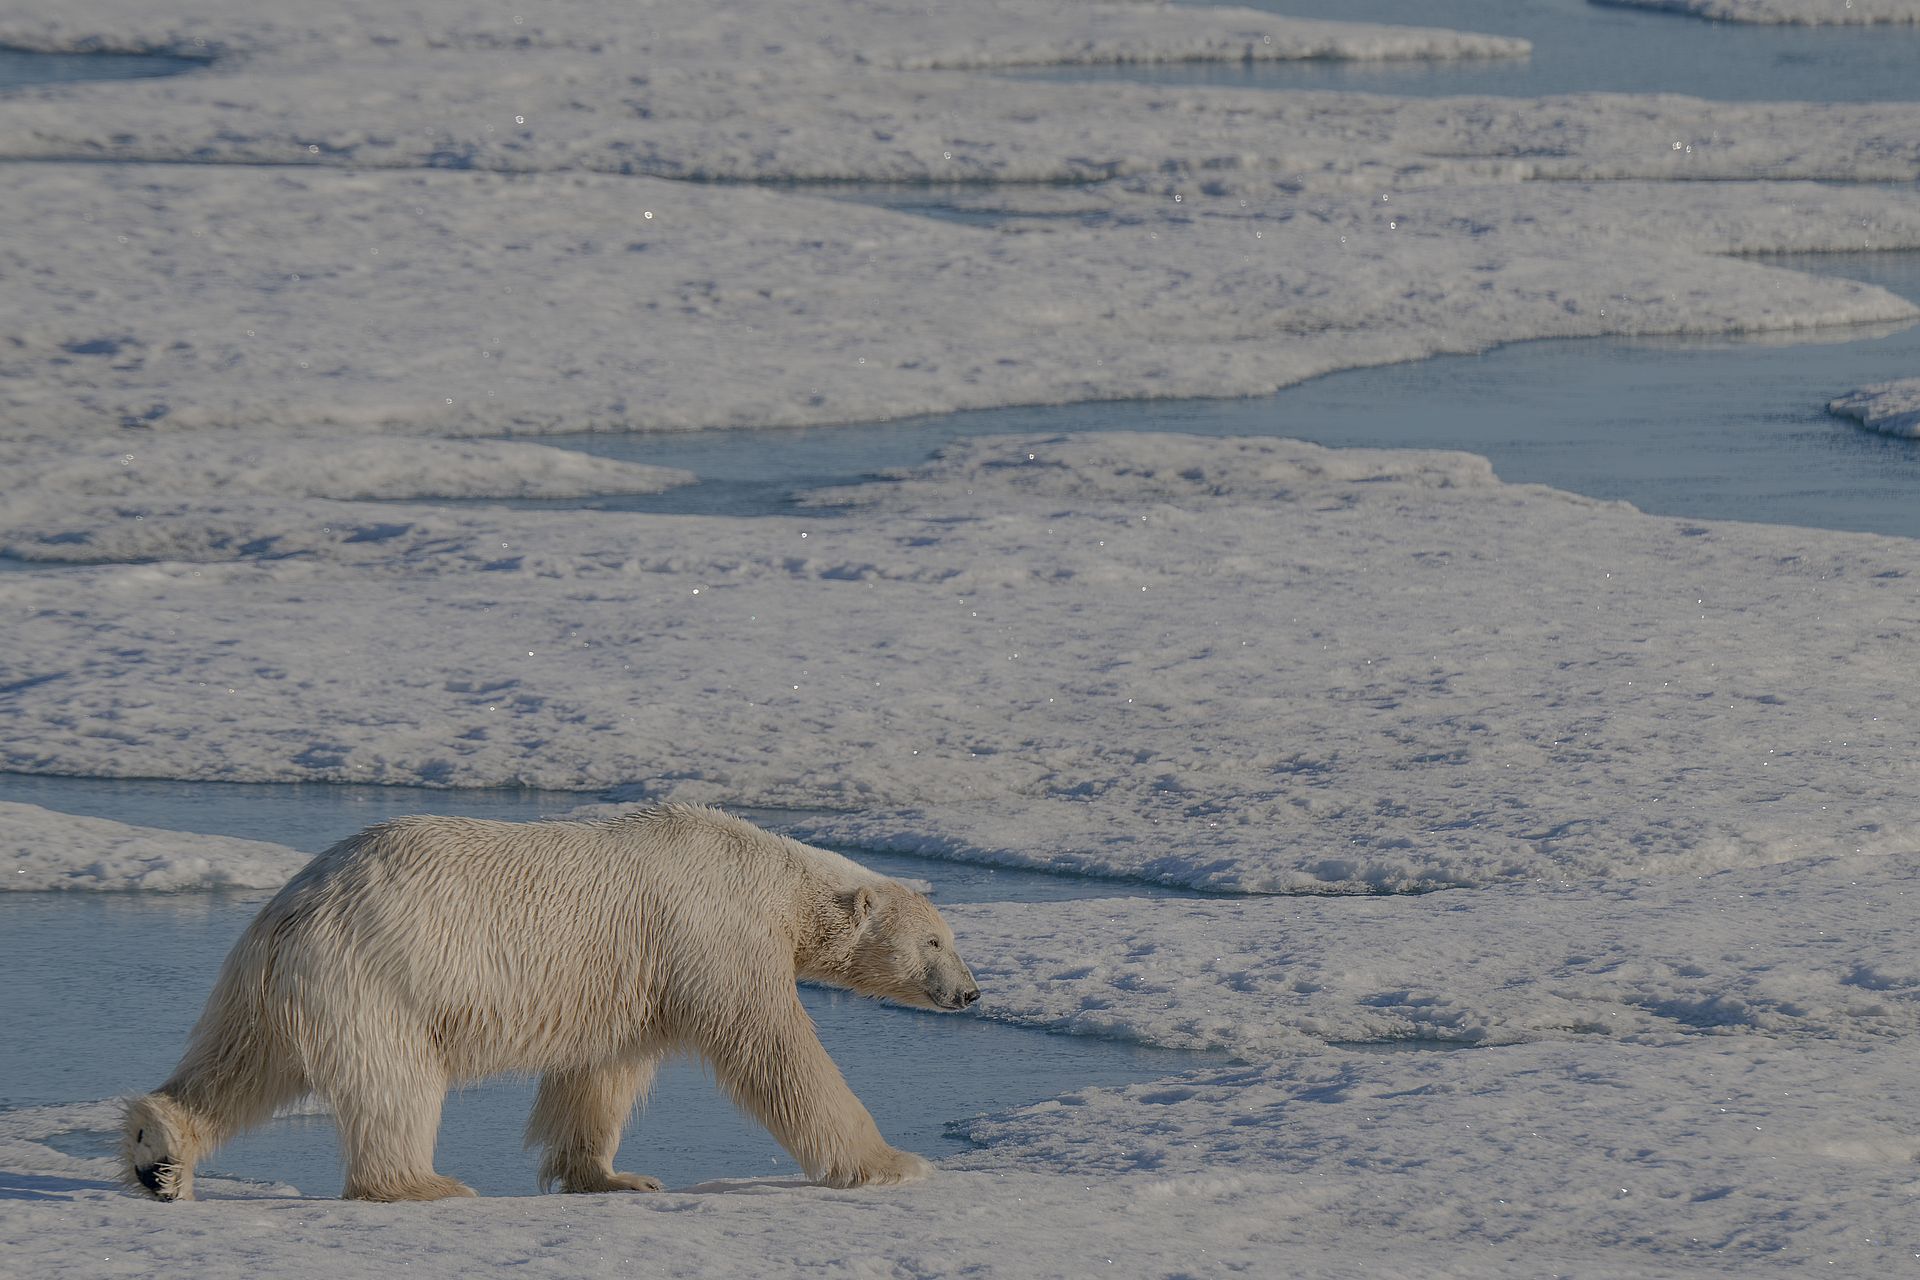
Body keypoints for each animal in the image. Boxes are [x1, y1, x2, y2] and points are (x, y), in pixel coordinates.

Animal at [123, 809, 975, 1205]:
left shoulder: (636, 976)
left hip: (273, 986)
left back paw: (157, 1153)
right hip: (375, 977)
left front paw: (612, 1176)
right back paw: (424, 1183)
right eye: (935, 940)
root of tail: (293, 907)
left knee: (239, 1064)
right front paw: (890, 1162)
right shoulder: (713, 935)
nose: (971, 991)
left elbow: (601, 1072)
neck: (770, 876)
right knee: (394, 1086)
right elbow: (775, 1050)